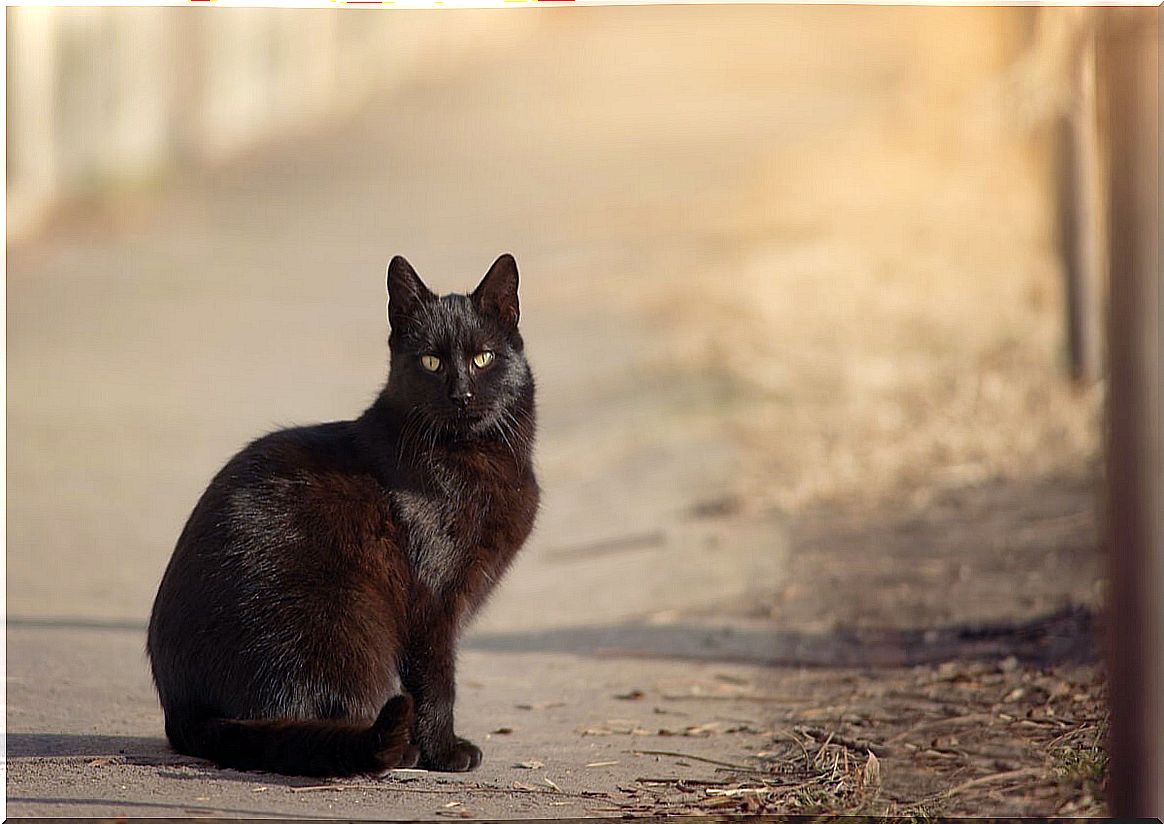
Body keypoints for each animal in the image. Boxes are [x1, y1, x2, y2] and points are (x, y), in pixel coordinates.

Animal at [146, 257, 540, 777]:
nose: (461, 394)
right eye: (431, 362)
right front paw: (445, 753)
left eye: (483, 358)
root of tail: (187, 714)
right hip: (344, 622)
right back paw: (395, 748)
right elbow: (436, 683)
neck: (469, 456)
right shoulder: (431, 602)